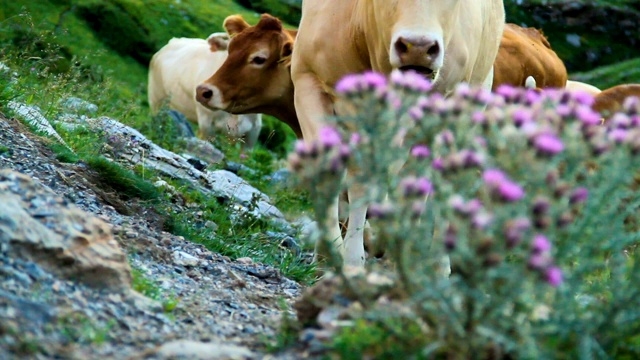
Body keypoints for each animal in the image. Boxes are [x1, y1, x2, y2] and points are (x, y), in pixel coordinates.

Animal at [292, 0, 508, 268]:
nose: (418, 47)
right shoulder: (307, 79)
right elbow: (329, 170)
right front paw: (328, 256)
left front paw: (351, 258)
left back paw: (434, 264)